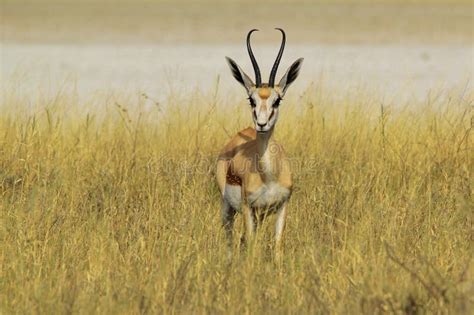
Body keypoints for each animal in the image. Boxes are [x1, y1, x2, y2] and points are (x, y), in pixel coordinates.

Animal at [218, 28, 304, 258]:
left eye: (278, 100)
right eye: (251, 99)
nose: (262, 124)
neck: (269, 177)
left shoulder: (281, 206)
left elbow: (277, 244)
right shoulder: (249, 208)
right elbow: (250, 244)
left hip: (261, 215)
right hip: (228, 207)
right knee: (230, 239)